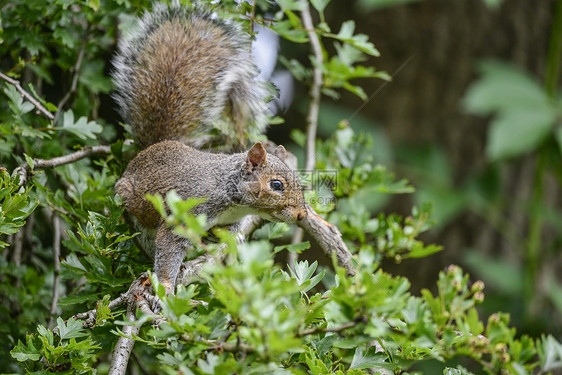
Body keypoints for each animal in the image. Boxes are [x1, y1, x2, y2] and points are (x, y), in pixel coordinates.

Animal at [111, 0, 306, 294]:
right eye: (276, 185)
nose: (302, 215)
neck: (232, 197)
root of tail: (150, 149)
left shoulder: (231, 220)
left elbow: (227, 232)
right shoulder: (186, 210)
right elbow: (170, 243)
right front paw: (165, 284)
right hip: (136, 209)